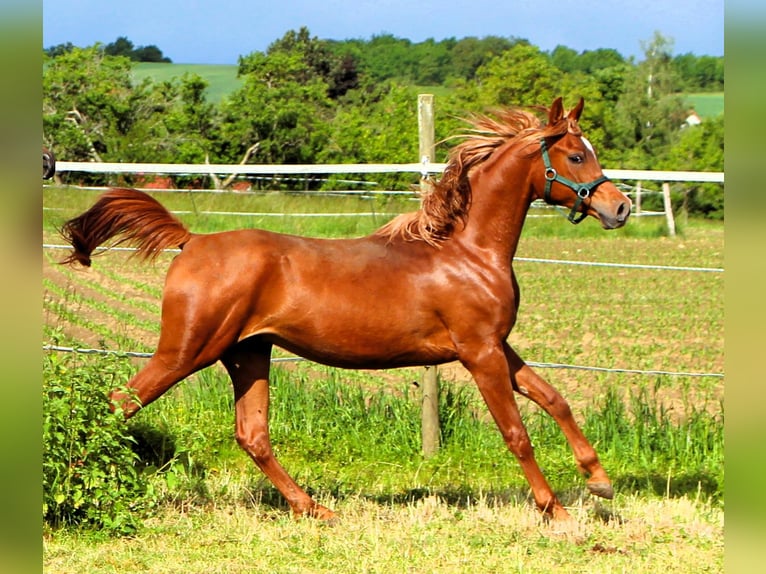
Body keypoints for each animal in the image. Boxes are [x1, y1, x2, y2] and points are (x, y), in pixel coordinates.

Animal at [60, 97, 631, 522]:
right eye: (576, 156)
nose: (619, 207)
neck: (465, 251)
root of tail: (192, 241)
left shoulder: (496, 346)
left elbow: (555, 399)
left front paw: (600, 482)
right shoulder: (479, 353)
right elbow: (517, 433)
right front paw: (556, 511)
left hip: (248, 354)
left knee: (252, 435)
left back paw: (315, 509)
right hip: (187, 351)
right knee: (119, 404)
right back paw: (74, 487)